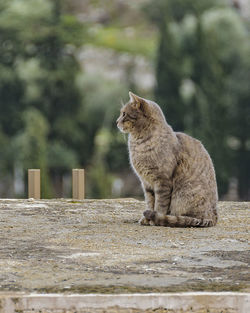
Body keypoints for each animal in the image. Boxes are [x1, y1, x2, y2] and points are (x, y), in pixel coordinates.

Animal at [116, 91, 218, 225]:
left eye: (124, 114)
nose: (116, 121)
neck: (140, 143)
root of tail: (214, 217)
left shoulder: (162, 181)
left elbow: (160, 205)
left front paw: (155, 218)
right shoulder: (146, 183)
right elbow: (150, 202)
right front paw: (146, 219)